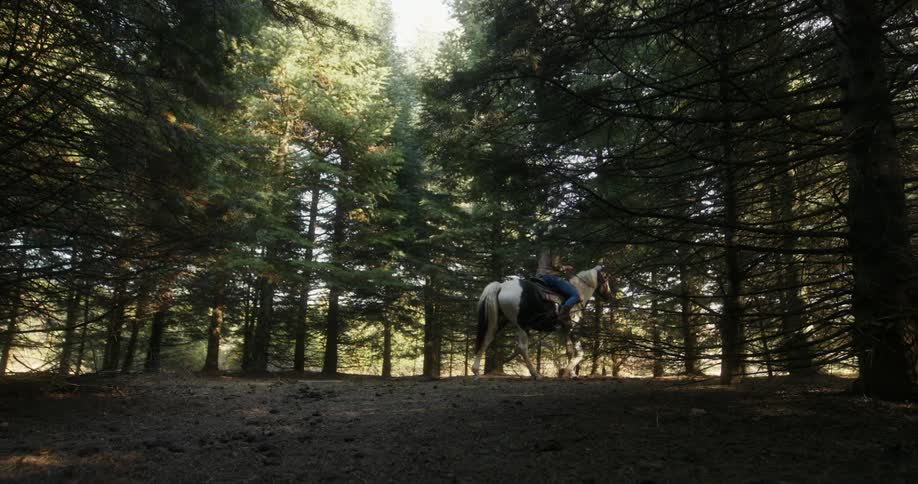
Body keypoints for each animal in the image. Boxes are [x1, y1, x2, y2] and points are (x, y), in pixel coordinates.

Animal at [472, 266, 612, 379]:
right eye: (605, 278)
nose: (609, 296)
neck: (579, 293)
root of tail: (501, 286)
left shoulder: (565, 329)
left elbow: (569, 351)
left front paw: (572, 374)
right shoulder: (573, 328)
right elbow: (580, 353)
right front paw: (567, 372)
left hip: (501, 321)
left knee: (487, 339)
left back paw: (475, 370)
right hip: (522, 325)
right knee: (522, 348)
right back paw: (536, 374)